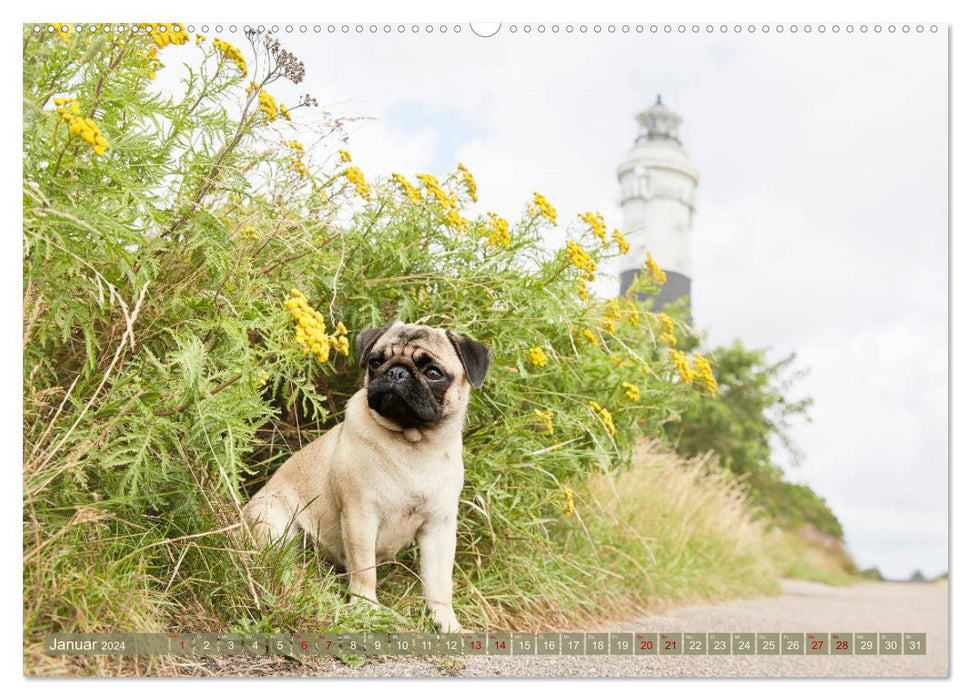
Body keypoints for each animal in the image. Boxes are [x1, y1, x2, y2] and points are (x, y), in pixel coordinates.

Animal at [239, 320, 490, 632]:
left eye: (433, 373)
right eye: (376, 362)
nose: (396, 372)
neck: (414, 445)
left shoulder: (439, 528)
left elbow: (439, 581)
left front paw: (444, 619)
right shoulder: (360, 516)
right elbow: (364, 570)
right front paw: (365, 608)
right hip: (273, 522)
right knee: (279, 561)